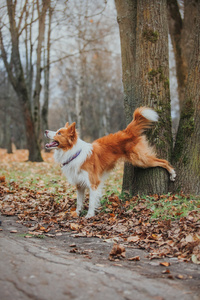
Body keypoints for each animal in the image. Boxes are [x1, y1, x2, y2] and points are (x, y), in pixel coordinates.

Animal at [45, 108, 175, 218]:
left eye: (59, 133)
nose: (45, 130)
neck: (74, 152)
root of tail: (127, 132)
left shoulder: (93, 183)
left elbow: (91, 202)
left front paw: (89, 215)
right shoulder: (79, 184)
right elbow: (79, 202)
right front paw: (76, 213)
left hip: (141, 159)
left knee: (163, 161)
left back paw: (173, 174)